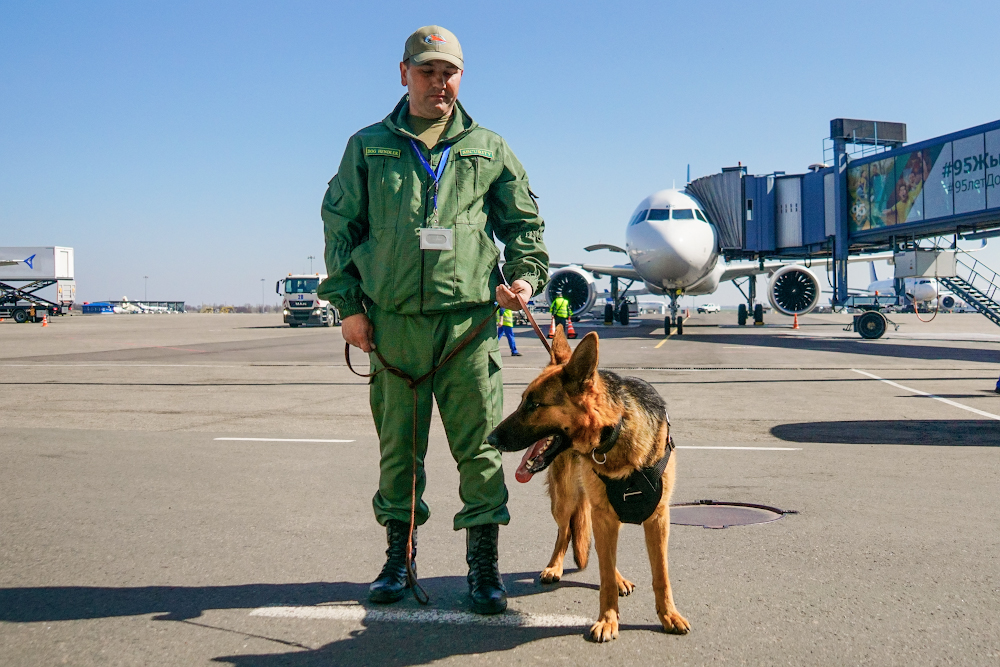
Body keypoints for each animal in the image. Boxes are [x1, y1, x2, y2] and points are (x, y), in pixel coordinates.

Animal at [488, 328, 692, 640]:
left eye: (534, 405)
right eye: (523, 400)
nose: (490, 438)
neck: (613, 434)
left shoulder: (658, 518)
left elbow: (661, 574)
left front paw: (669, 615)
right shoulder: (603, 515)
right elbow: (604, 574)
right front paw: (608, 619)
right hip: (566, 501)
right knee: (566, 533)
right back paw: (555, 566)